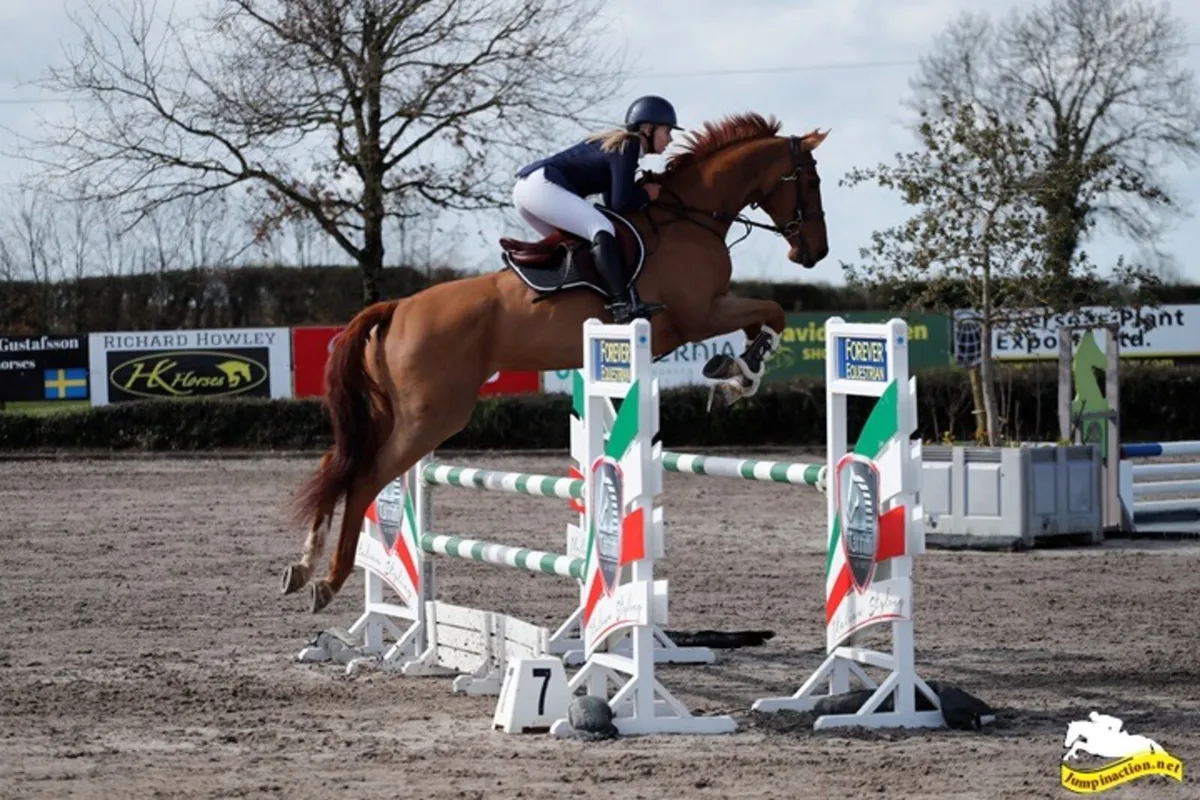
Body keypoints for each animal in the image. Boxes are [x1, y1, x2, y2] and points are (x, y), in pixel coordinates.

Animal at [282, 112, 831, 614]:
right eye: (811, 181)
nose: (815, 254)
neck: (691, 219)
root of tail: (396, 308)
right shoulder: (699, 315)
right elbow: (773, 313)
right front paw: (740, 374)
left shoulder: (707, 313)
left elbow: (765, 320)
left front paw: (733, 375)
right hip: (431, 418)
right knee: (364, 476)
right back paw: (328, 581)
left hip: (393, 412)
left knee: (337, 464)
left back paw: (304, 565)